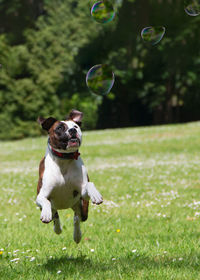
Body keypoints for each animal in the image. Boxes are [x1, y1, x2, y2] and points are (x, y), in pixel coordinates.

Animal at [35, 109, 103, 243]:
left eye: (76, 126)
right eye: (60, 128)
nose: (72, 130)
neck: (64, 159)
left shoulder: (82, 191)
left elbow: (89, 184)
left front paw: (96, 194)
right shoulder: (41, 196)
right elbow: (45, 201)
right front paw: (46, 214)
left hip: (82, 208)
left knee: (77, 218)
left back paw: (77, 236)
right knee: (55, 214)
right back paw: (57, 228)